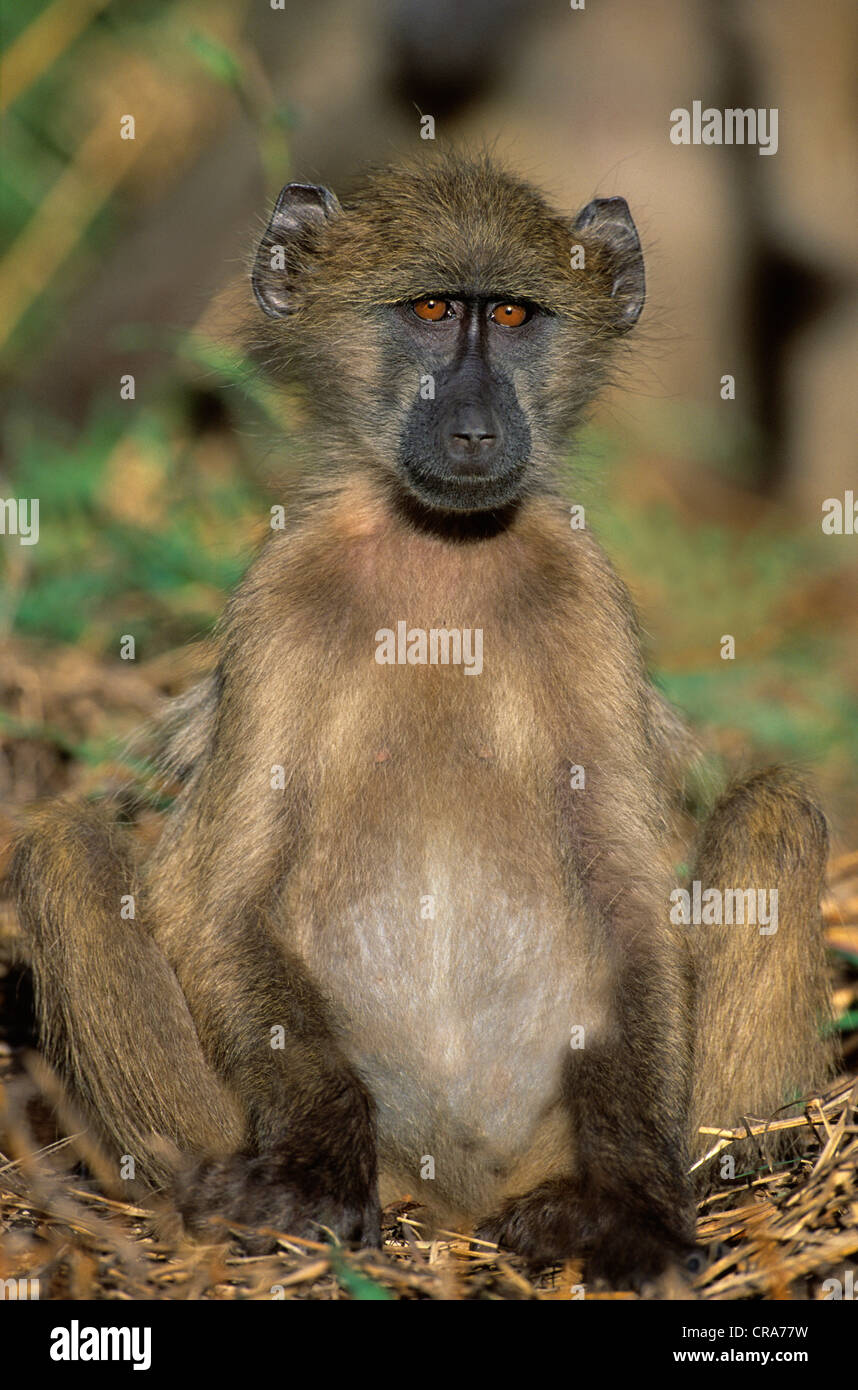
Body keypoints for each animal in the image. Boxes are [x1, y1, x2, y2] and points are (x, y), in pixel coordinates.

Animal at [10, 151, 835, 1291]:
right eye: (433, 310)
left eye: (516, 316)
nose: (477, 430)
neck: (443, 550)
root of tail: (450, 1205)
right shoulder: (278, 599)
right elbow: (225, 896)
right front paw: (308, 1174)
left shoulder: (587, 596)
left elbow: (629, 895)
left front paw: (628, 1206)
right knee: (62, 845)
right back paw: (210, 1191)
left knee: (775, 809)